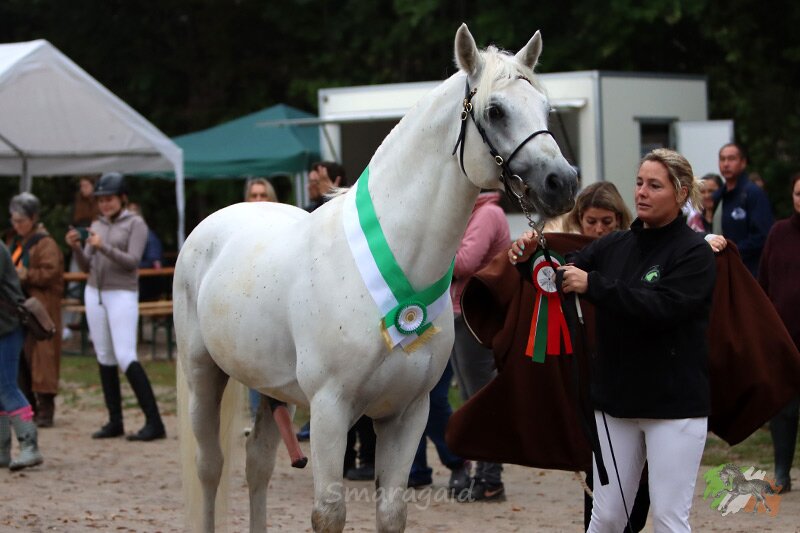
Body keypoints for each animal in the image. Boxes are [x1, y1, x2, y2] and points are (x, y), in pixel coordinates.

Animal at [174, 23, 577, 532]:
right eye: (495, 110)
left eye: (546, 108)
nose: (562, 182)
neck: (397, 268)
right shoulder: (329, 410)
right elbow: (329, 513)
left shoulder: (408, 414)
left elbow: (392, 511)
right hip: (203, 375)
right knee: (210, 468)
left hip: (268, 387)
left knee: (257, 463)